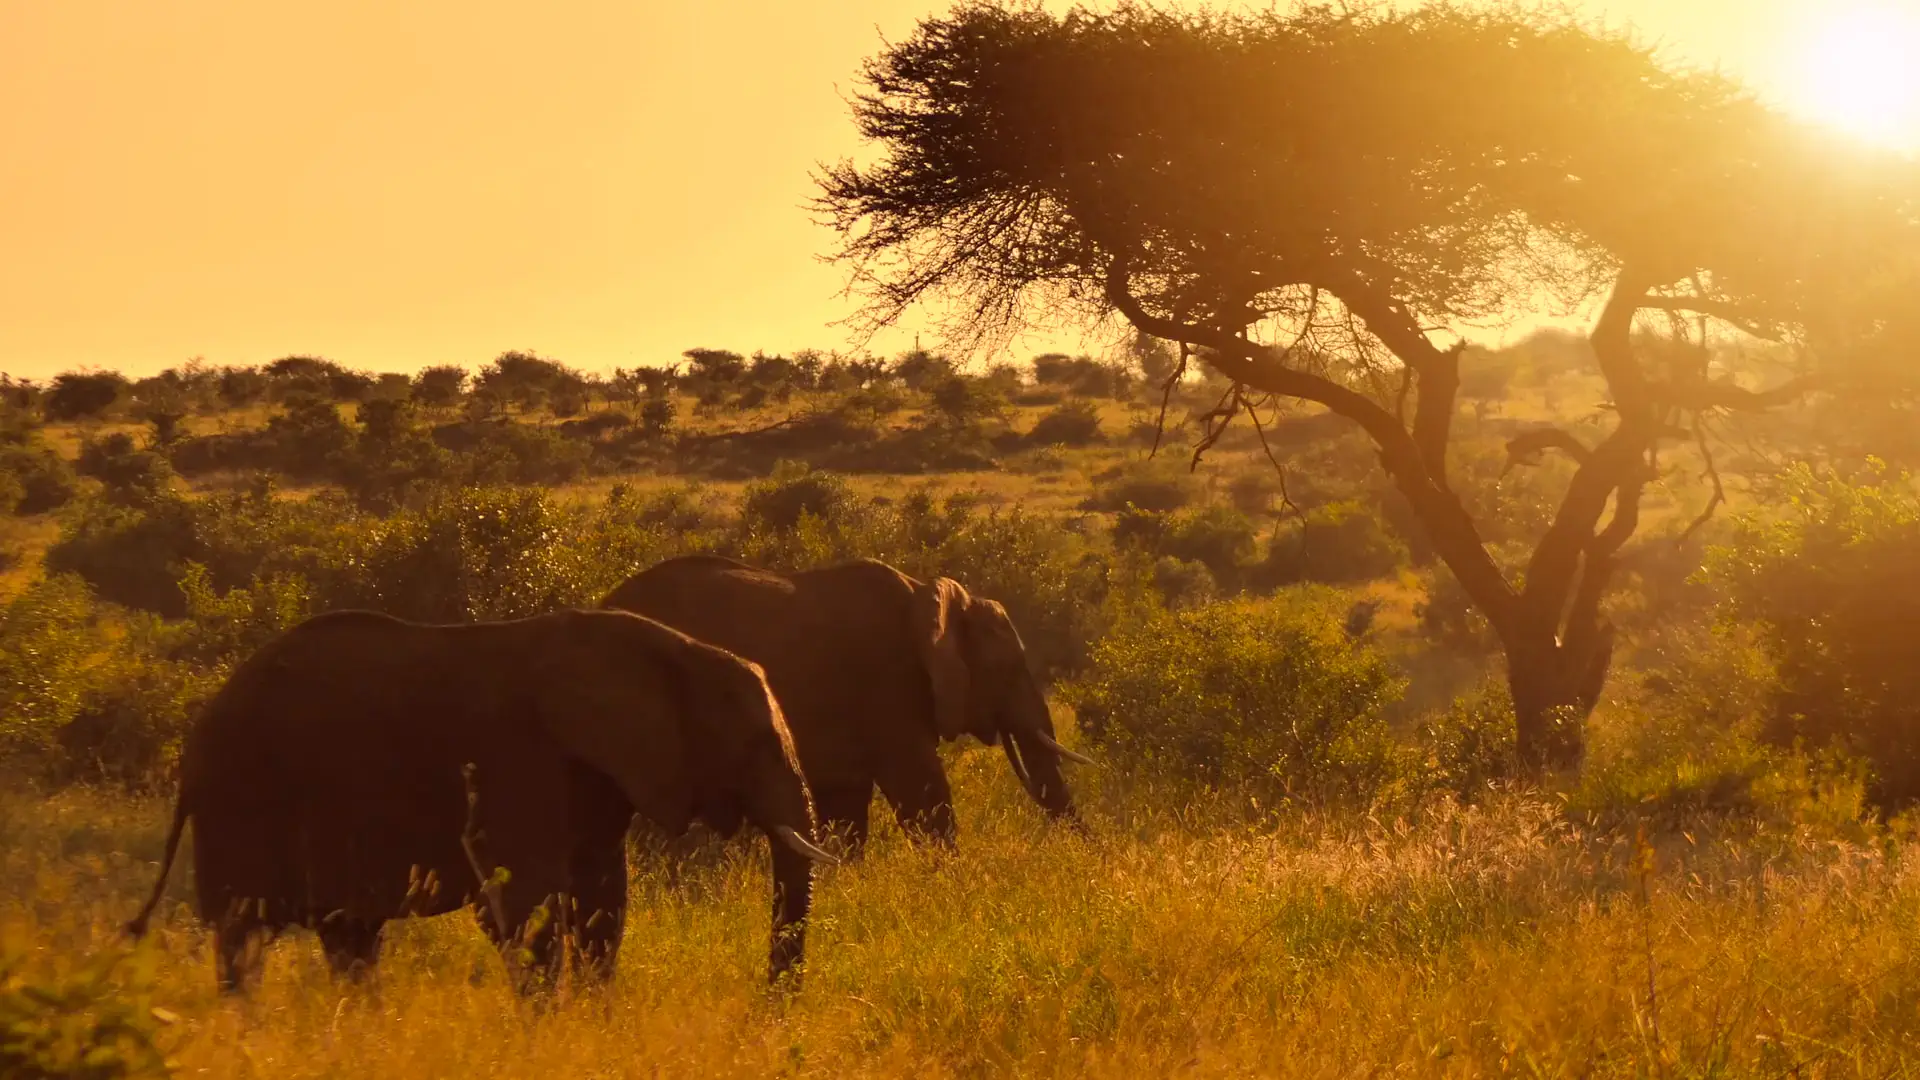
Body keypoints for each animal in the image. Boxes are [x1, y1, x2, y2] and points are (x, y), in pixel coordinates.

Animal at [123, 606, 836, 994]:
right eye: (752, 742)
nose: (770, 1011)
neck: (670, 646)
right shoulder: (515, 762)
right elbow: (526, 906)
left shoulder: (595, 777)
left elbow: (602, 901)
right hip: (240, 798)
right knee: (244, 937)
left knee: (347, 935)